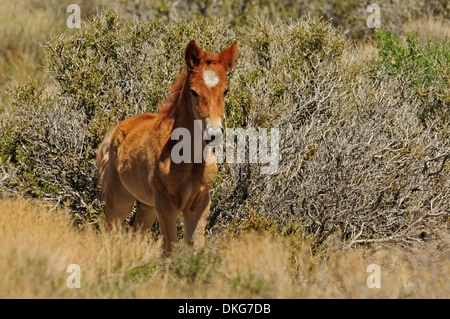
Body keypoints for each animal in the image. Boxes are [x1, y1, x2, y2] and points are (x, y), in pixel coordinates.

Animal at [96, 39, 237, 255]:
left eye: (226, 90)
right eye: (194, 91)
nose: (214, 133)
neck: (189, 157)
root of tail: (116, 129)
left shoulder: (199, 204)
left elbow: (196, 247)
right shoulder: (166, 204)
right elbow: (170, 249)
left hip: (147, 207)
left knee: (133, 232)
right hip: (119, 199)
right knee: (110, 232)